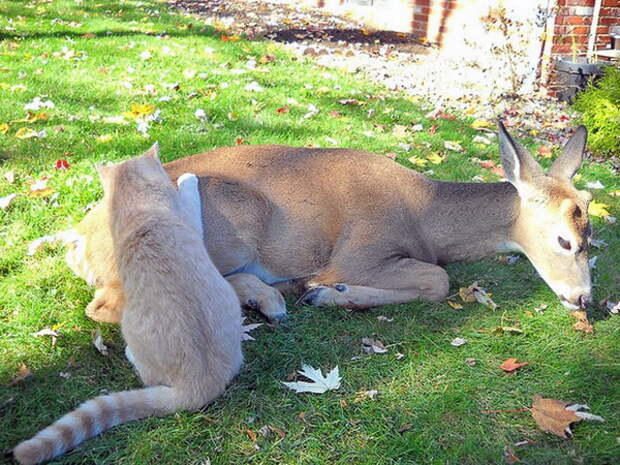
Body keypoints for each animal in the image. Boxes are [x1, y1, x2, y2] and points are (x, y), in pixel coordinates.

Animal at [65, 120, 592, 322]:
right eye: (565, 241)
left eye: (591, 233)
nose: (585, 299)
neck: (426, 215)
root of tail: (78, 243)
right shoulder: (360, 250)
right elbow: (438, 279)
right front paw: (328, 292)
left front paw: (320, 292)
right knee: (110, 304)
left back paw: (269, 297)